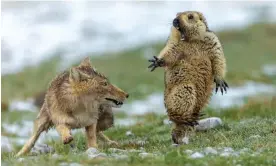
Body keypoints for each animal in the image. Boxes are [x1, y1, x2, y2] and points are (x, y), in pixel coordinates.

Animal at [149, 11, 229, 144]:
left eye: (190, 16)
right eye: (176, 14)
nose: (175, 20)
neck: (192, 40)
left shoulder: (212, 39)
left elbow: (218, 57)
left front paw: (220, 81)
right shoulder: (175, 43)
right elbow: (170, 51)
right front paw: (158, 61)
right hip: (184, 88)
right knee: (174, 115)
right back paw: (186, 119)